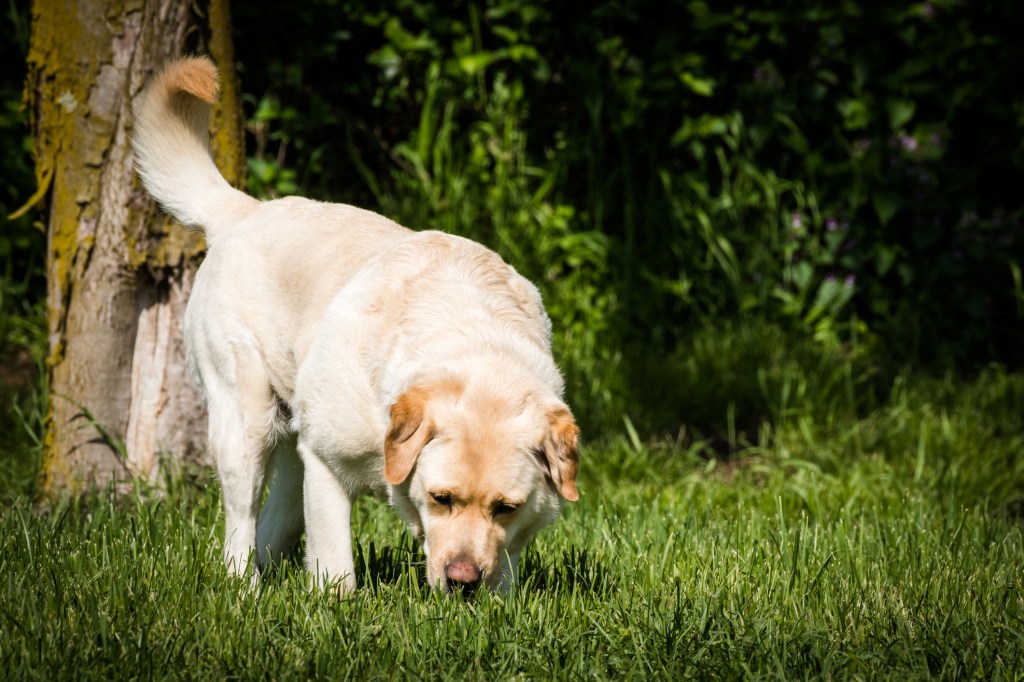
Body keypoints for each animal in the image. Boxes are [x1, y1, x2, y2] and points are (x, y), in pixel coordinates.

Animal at [130, 57, 577, 589]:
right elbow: (335, 565)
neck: (473, 341)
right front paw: (333, 602)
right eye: (441, 498)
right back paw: (245, 590)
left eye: (505, 507)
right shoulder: (326, 464)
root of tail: (246, 209)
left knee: (275, 523)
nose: (462, 581)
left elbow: (506, 565)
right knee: (241, 523)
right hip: (247, 425)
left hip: (292, 439)